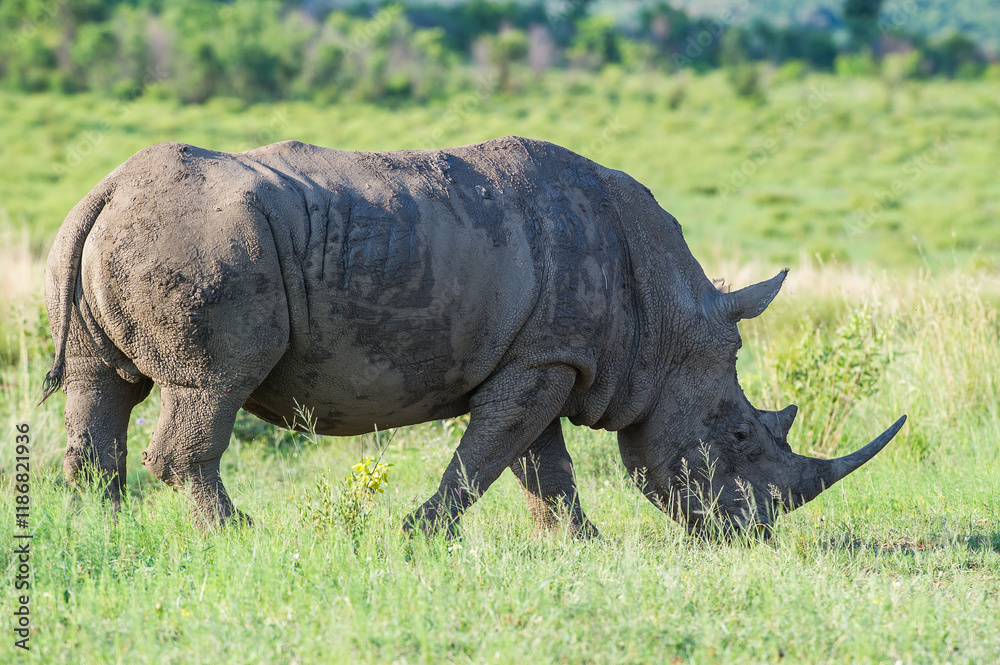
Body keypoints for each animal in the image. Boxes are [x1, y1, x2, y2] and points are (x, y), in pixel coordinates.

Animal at [44, 137, 905, 537]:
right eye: (738, 436)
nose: (748, 532)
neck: (667, 321)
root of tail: (107, 188)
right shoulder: (547, 356)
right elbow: (495, 452)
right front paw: (419, 533)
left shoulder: (546, 353)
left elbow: (537, 459)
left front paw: (577, 543)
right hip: (204, 244)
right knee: (211, 386)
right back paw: (238, 535)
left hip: (122, 234)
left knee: (102, 385)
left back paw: (100, 526)